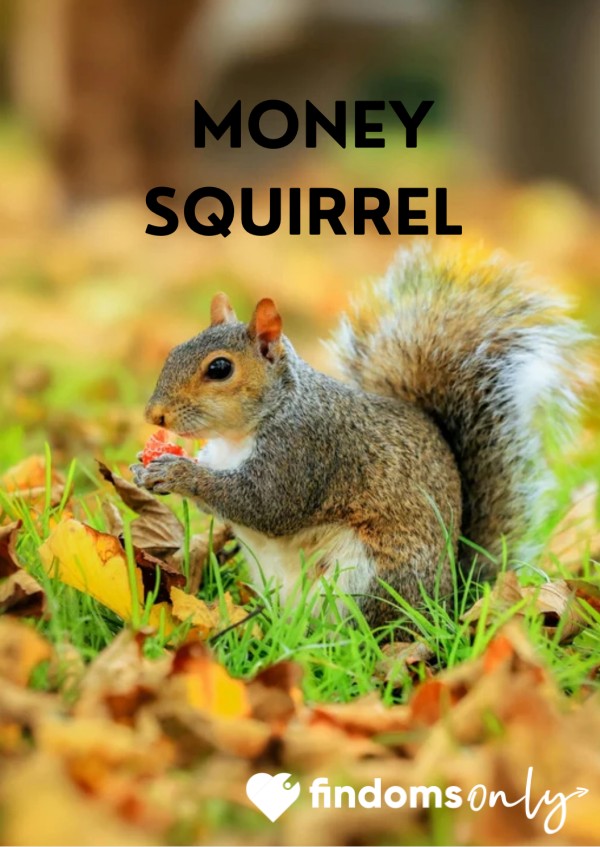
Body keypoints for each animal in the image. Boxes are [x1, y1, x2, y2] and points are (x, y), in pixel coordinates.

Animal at [132, 247, 585, 628]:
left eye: (220, 368)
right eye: (173, 351)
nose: (154, 414)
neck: (240, 435)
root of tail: (449, 602)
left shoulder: (305, 452)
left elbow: (264, 505)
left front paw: (177, 473)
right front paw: (145, 469)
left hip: (363, 577)